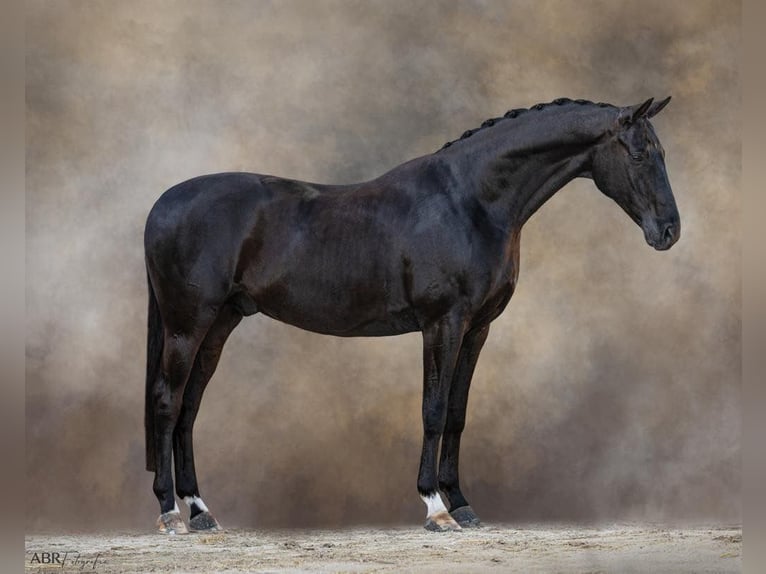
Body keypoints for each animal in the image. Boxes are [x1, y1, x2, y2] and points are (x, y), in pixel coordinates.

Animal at [144, 96, 679, 534]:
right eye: (639, 154)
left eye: (661, 154)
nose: (669, 231)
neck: (470, 203)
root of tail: (161, 204)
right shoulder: (442, 323)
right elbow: (433, 409)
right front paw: (435, 507)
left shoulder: (478, 328)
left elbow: (458, 413)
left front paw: (462, 503)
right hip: (187, 324)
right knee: (168, 402)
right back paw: (170, 514)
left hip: (220, 324)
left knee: (190, 408)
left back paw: (201, 511)